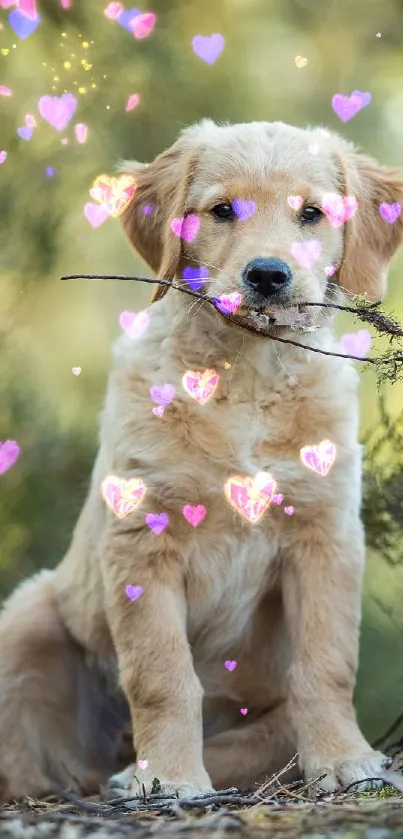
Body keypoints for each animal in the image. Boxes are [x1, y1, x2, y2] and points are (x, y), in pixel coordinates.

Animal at [0, 118, 403, 800]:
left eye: (312, 213)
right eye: (221, 211)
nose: (266, 275)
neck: (246, 375)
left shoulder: (325, 534)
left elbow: (326, 664)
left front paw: (347, 761)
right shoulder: (142, 536)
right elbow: (162, 675)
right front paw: (169, 778)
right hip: (28, 617)